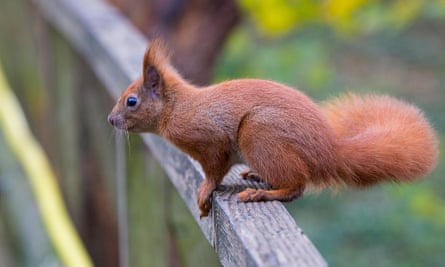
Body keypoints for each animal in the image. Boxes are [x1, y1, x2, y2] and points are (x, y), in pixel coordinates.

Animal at [107, 40, 438, 220]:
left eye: (131, 101)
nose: (111, 120)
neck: (178, 108)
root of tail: (330, 151)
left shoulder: (211, 140)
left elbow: (214, 169)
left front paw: (204, 192)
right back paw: (256, 177)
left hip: (260, 134)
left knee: (297, 186)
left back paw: (260, 194)